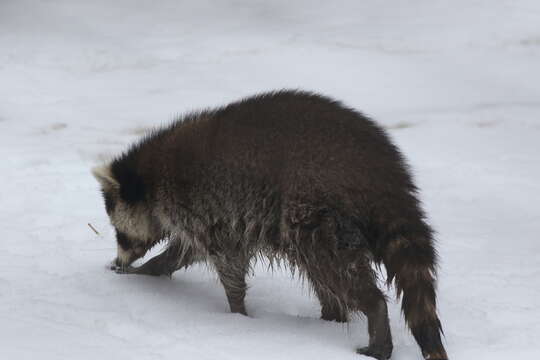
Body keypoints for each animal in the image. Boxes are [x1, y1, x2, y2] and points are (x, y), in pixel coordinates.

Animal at [92, 90, 448, 360]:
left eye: (119, 233)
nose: (119, 261)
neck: (150, 178)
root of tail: (384, 173)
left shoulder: (208, 209)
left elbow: (227, 261)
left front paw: (237, 314)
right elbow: (184, 251)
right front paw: (150, 268)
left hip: (316, 211)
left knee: (335, 270)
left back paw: (372, 313)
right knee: (324, 275)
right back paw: (331, 316)